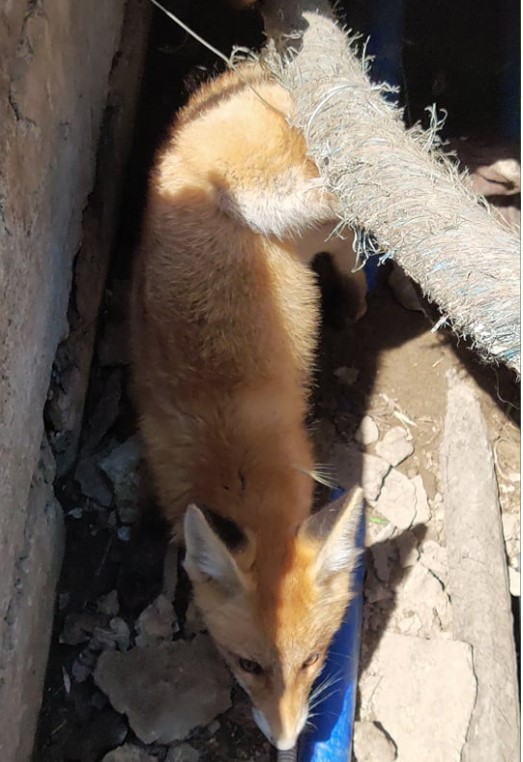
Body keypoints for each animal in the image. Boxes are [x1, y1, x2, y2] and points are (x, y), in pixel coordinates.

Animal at [130, 62, 366, 751]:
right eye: (248, 665)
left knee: (352, 245)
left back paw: (356, 300)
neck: (229, 440)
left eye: (313, 661)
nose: (286, 744)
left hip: (295, 217)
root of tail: (258, 69)